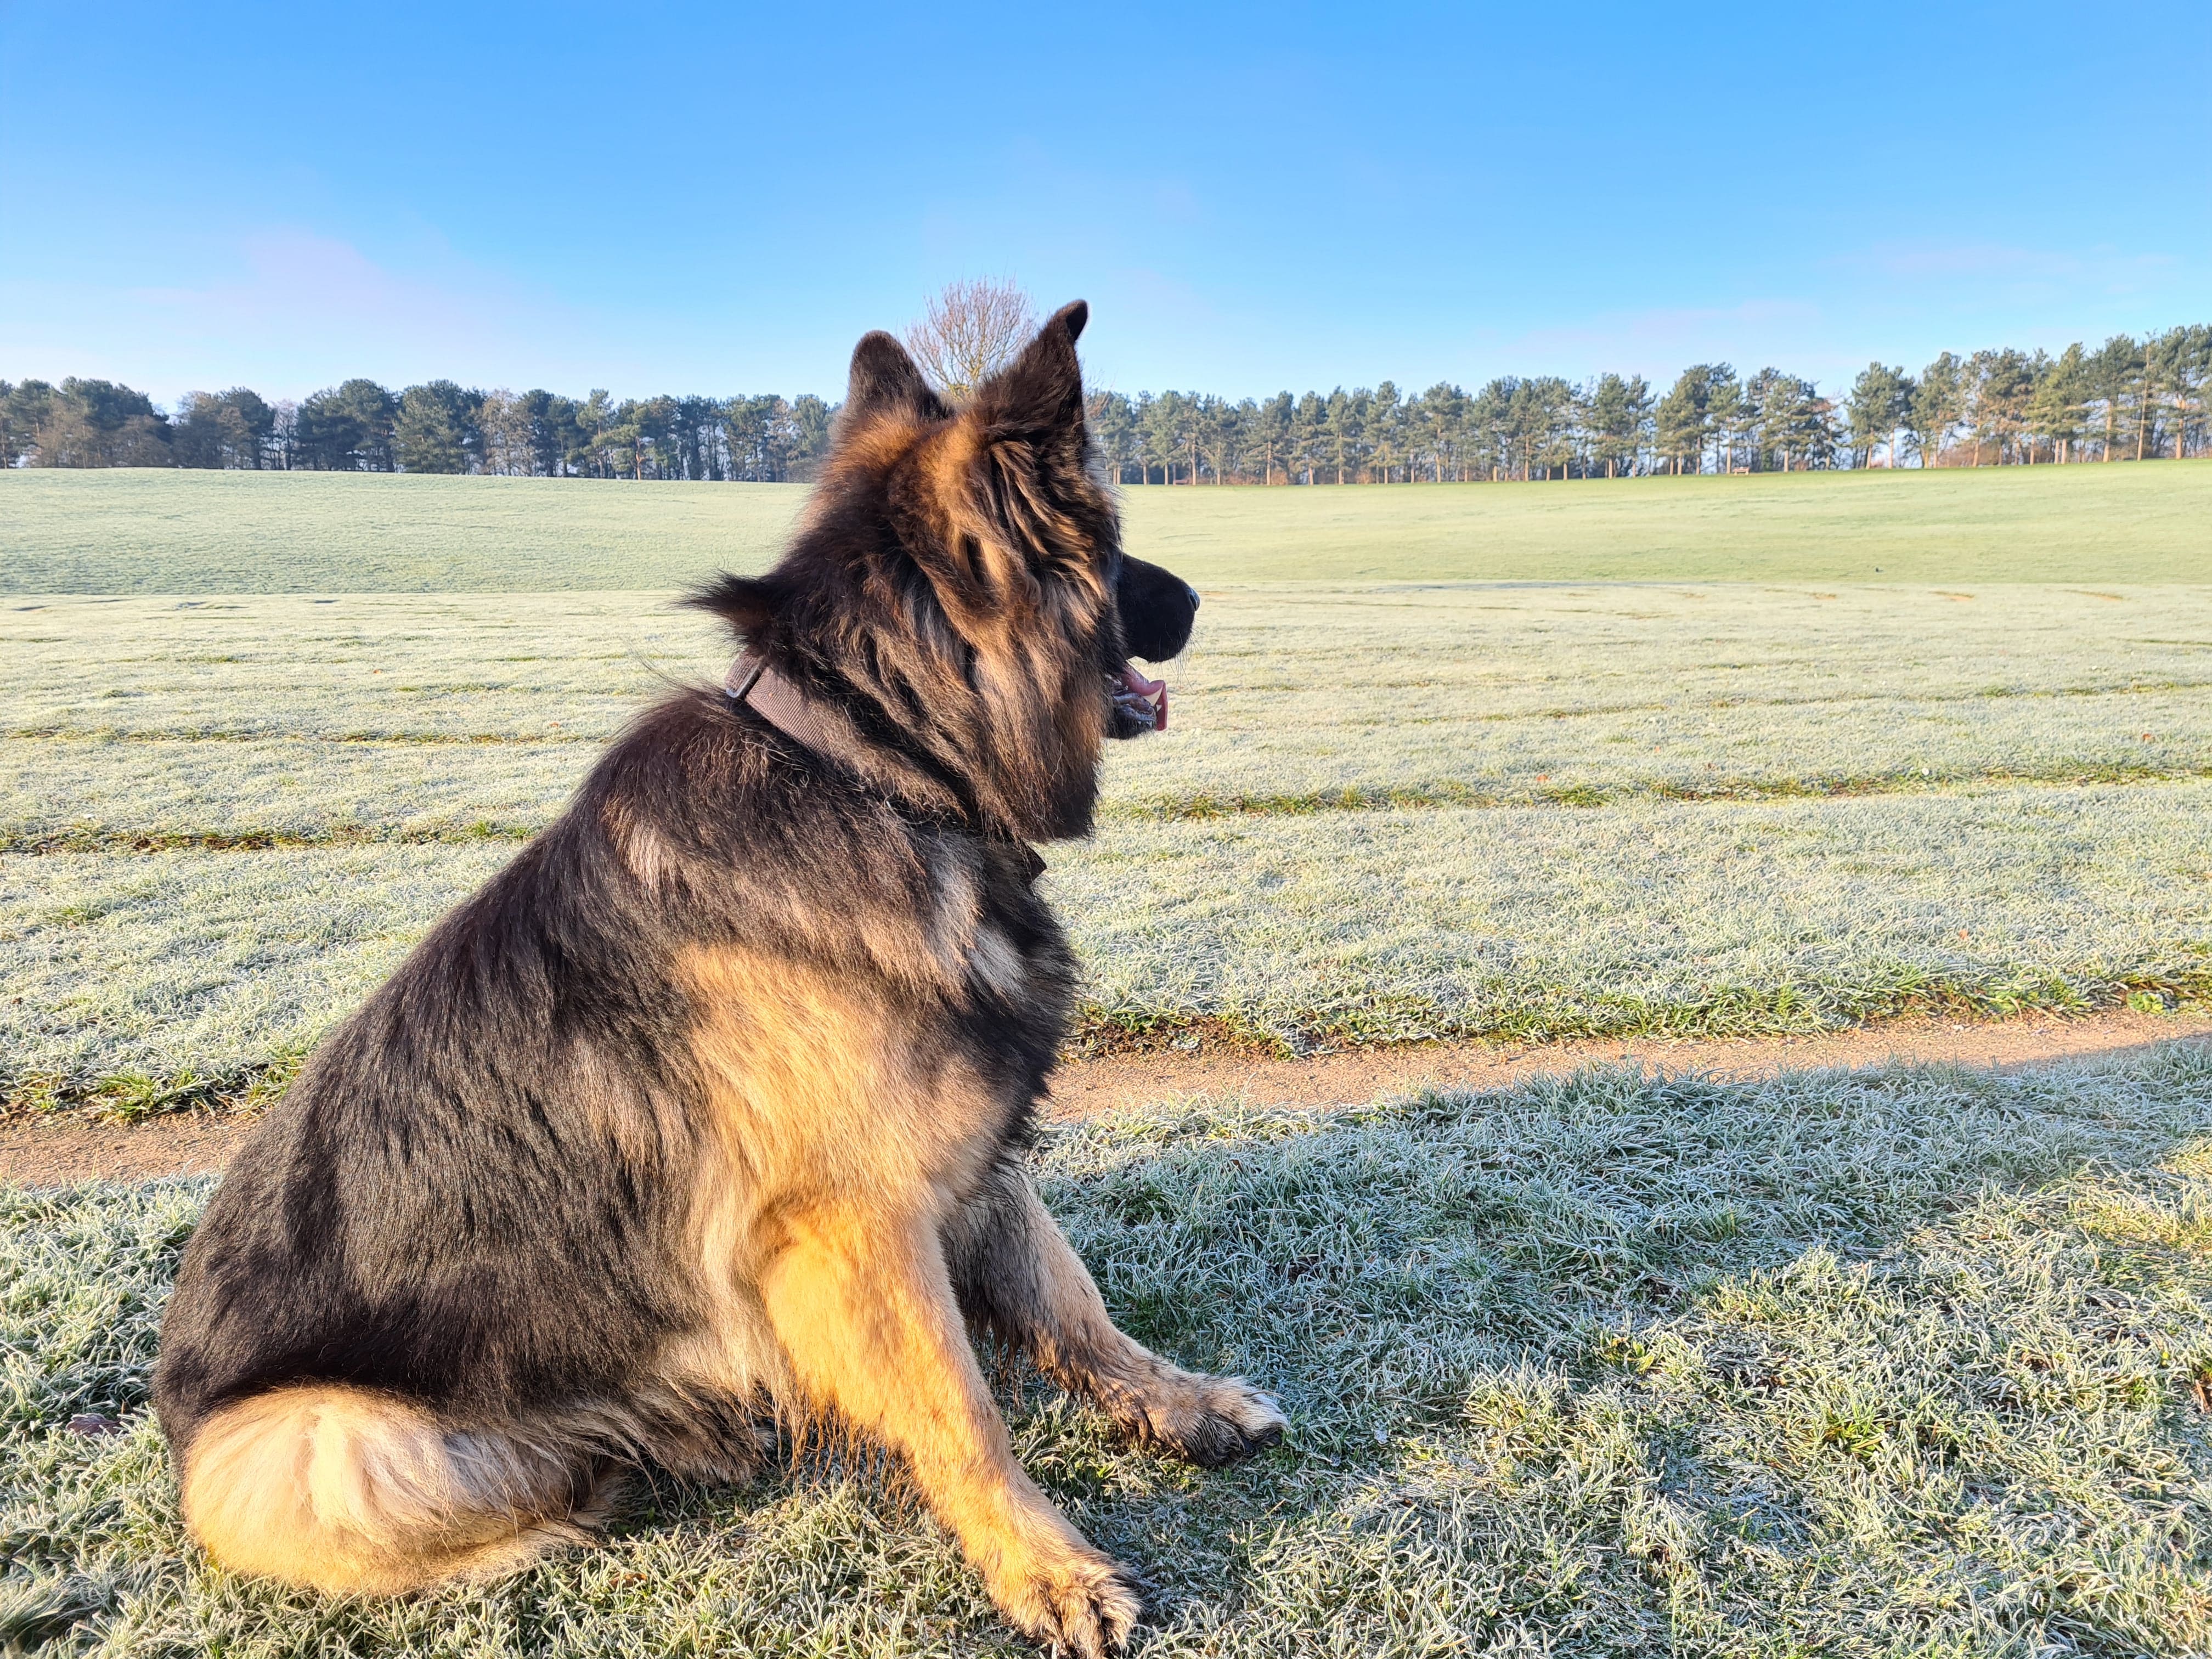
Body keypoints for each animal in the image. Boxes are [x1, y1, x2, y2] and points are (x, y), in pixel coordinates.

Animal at [156, 305, 1283, 1654]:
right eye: (1112, 548)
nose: (1202, 598)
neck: (871, 763)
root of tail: (171, 1413)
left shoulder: (970, 1151)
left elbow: (1075, 1300)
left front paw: (1181, 1402)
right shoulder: (857, 1225)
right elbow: (964, 1412)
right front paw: (1046, 1568)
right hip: (335, 1446)